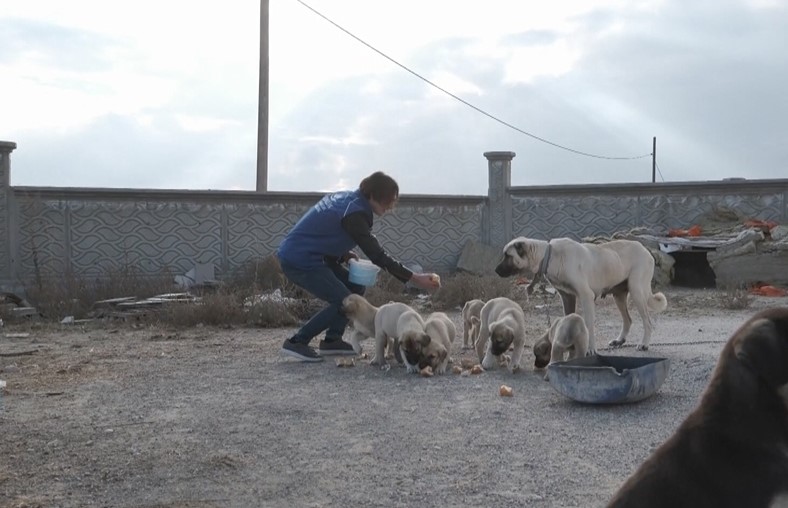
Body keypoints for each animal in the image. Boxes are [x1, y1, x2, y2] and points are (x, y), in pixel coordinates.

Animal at [496, 237, 668, 354]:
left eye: (508, 255)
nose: (496, 270)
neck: (549, 256)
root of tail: (645, 250)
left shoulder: (586, 296)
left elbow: (589, 324)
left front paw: (590, 349)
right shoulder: (567, 297)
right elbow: (568, 319)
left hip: (637, 291)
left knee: (647, 322)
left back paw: (644, 344)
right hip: (619, 296)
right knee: (628, 319)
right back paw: (620, 340)